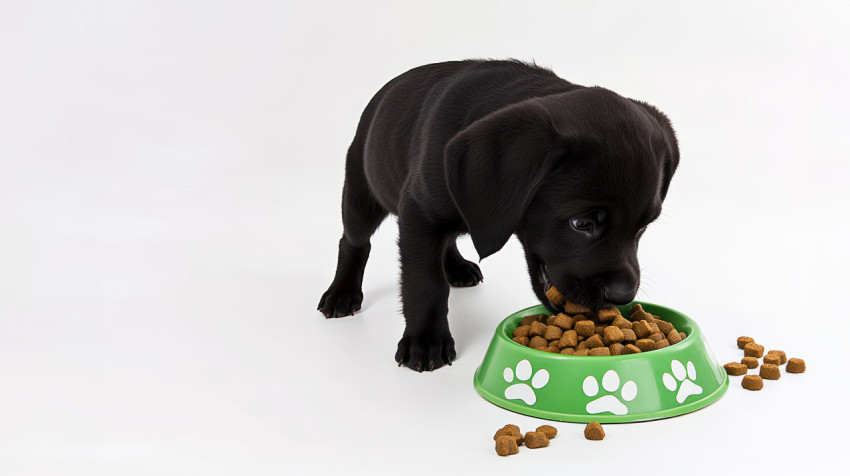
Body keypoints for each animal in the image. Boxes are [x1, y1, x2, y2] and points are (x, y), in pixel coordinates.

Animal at [314, 59, 680, 372]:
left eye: (643, 227)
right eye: (582, 224)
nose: (623, 295)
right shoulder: (419, 213)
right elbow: (424, 281)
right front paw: (426, 340)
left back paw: (457, 267)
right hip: (362, 194)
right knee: (353, 242)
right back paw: (342, 293)